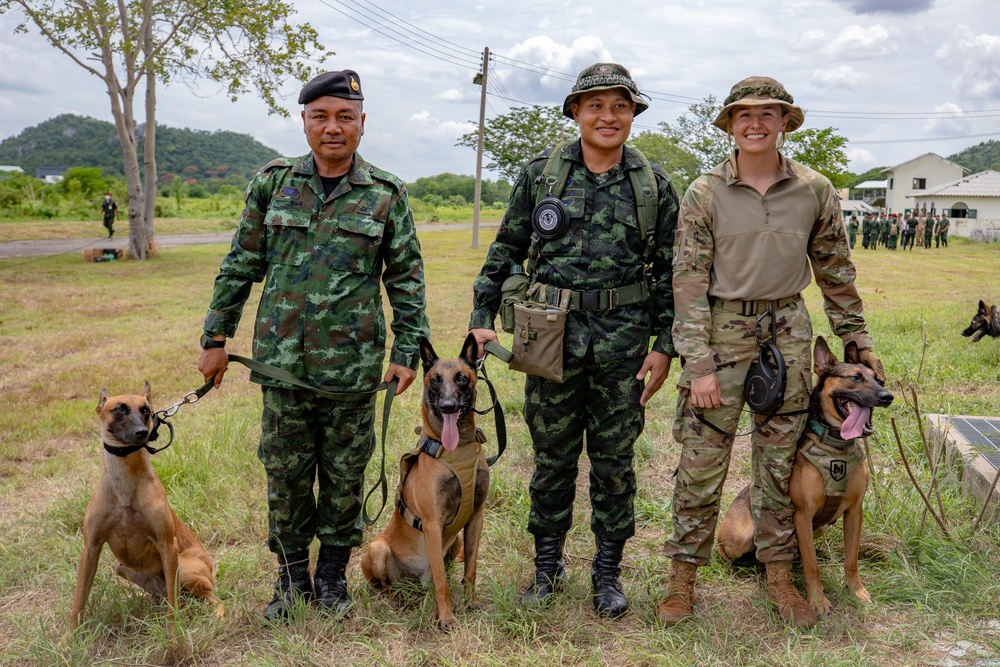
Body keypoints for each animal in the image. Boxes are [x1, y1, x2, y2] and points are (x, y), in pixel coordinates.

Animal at [69, 384, 222, 636]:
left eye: (146, 411)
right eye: (119, 409)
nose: (142, 432)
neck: (125, 481)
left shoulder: (167, 545)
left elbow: (173, 607)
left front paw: (174, 635)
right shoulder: (90, 548)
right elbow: (79, 600)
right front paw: (69, 638)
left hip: (185, 569)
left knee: (211, 598)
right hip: (122, 568)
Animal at [364, 334, 496, 632]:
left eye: (461, 378)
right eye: (435, 380)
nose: (447, 406)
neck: (457, 450)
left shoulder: (476, 517)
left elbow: (470, 568)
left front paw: (470, 602)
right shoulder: (433, 525)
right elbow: (441, 583)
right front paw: (446, 617)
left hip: (456, 539)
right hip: (377, 549)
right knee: (383, 587)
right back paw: (397, 599)